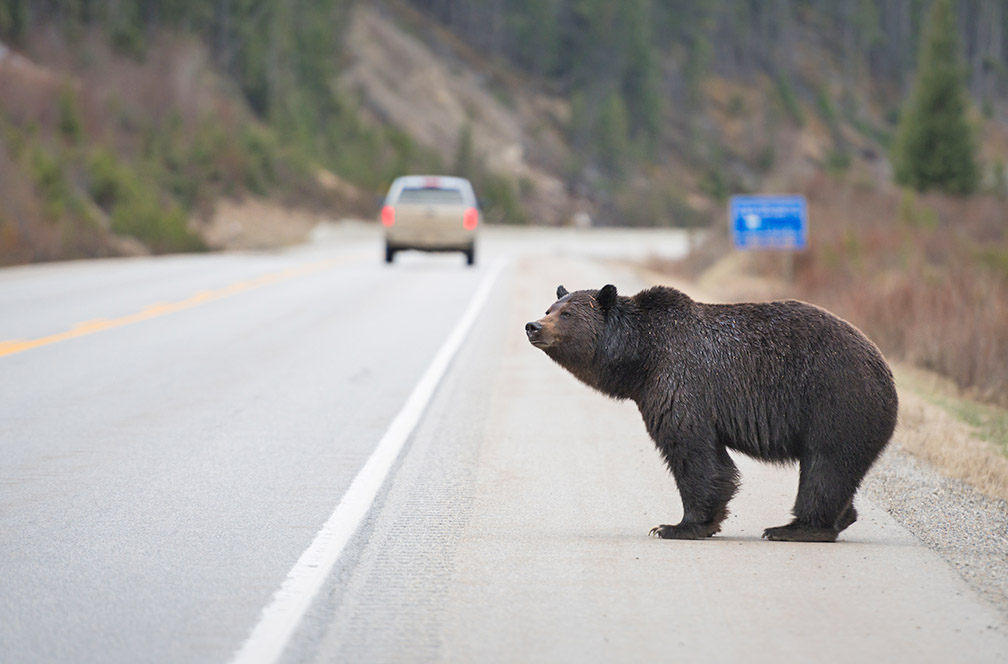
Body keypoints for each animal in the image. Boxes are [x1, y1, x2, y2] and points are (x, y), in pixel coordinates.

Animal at [525, 283, 898, 542]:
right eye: (549, 308)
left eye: (567, 314)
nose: (532, 326)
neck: (641, 357)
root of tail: (883, 367)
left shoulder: (681, 381)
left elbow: (691, 451)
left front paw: (676, 526)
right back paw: (837, 519)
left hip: (836, 402)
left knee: (825, 466)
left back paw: (794, 528)